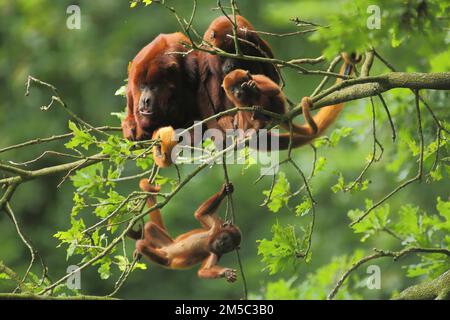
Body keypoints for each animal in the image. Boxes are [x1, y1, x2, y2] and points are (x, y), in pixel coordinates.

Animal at [222, 52, 362, 150]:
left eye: (240, 84)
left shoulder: (257, 77)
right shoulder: (237, 101)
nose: (238, 92)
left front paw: (253, 87)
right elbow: (242, 109)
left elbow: (274, 90)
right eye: (233, 88)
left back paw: (261, 115)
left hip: (277, 107)